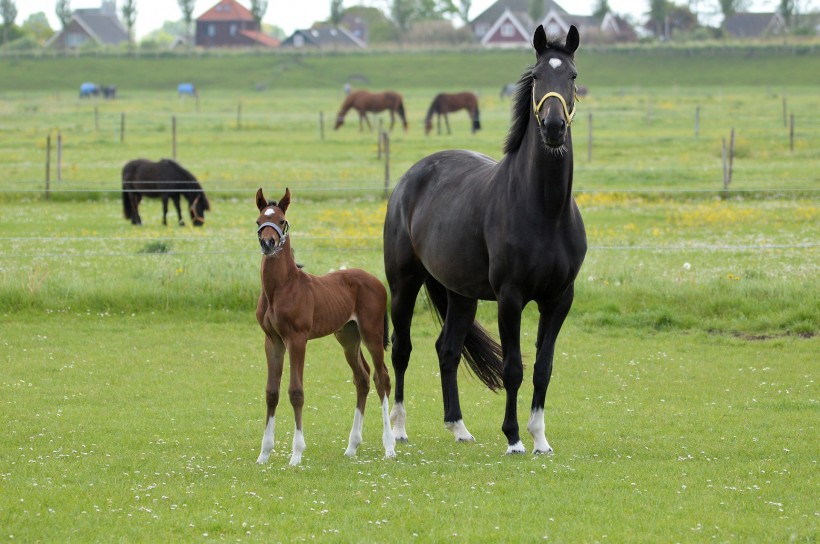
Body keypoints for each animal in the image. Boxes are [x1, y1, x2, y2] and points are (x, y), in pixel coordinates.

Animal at [256, 188, 398, 468]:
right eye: (258, 221)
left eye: (281, 221)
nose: (268, 244)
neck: (280, 287)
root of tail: (378, 281)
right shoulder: (273, 340)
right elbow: (271, 392)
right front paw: (264, 453)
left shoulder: (297, 339)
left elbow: (296, 391)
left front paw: (296, 454)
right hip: (348, 337)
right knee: (362, 378)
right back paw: (352, 447)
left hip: (371, 334)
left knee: (382, 378)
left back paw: (389, 446)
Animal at [382, 24, 588, 454]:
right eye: (537, 76)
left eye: (573, 76)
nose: (553, 127)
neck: (546, 211)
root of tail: (411, 178)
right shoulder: (510, 298)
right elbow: (513, 369)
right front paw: (514, 438)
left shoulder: (559, 299)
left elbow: (543, 368)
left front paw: (540, 438)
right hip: (404, 283)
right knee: (401, 350)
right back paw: (398, 428)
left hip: (461, 295)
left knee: (447, 350)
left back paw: (458, 427)